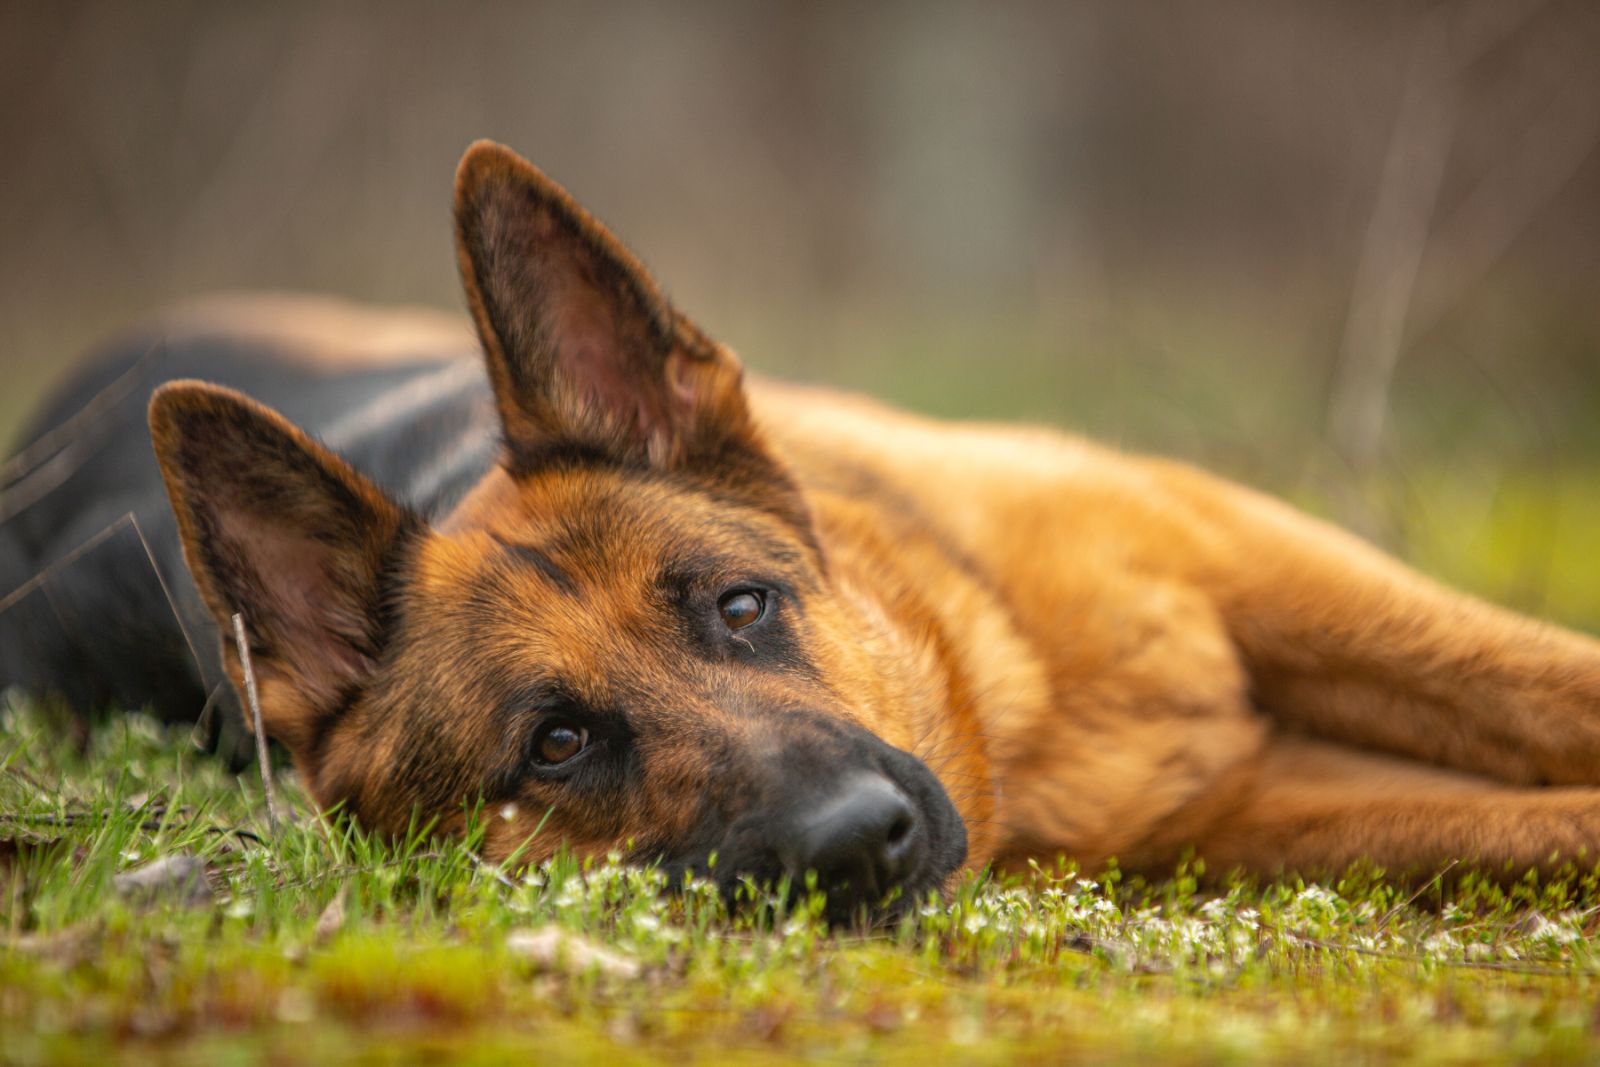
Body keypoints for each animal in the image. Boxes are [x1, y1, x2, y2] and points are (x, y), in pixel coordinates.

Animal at [3, 137, 1600, 915]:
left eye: (740, 604)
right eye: (557, 743)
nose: (861, 844)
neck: (1006, 692)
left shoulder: (1251, 554)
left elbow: (1539, 678)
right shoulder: (1253, 805)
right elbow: (1542, 817)